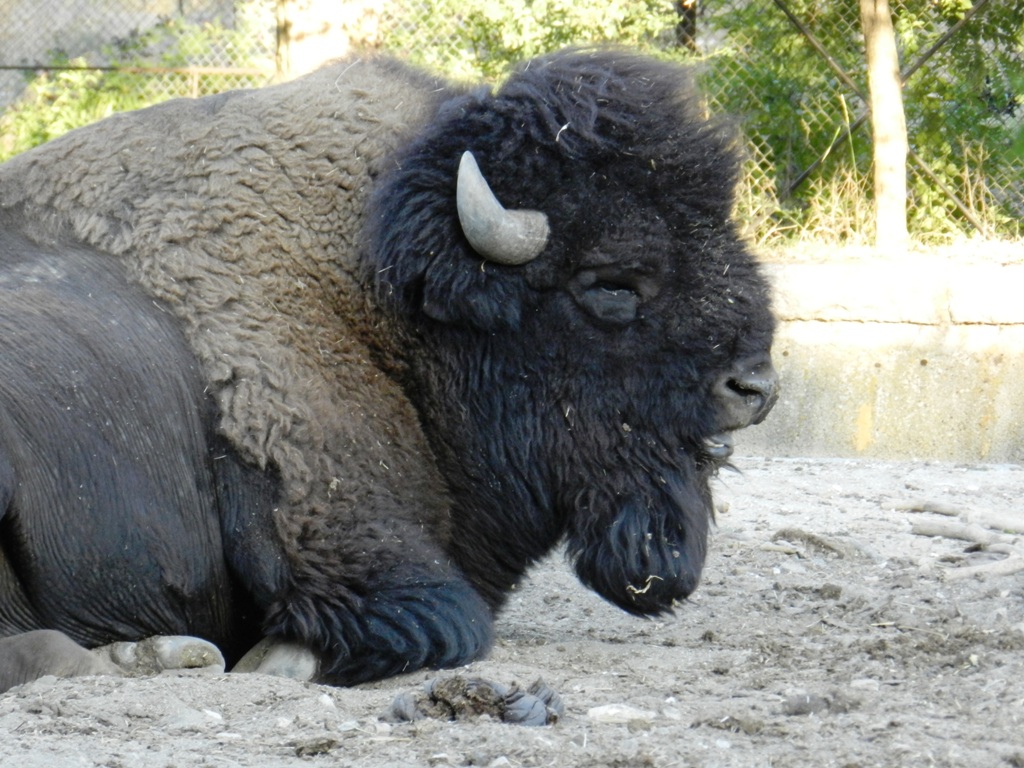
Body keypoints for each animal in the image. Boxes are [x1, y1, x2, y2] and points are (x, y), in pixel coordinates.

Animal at [0, 48, 777, 692]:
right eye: (613, 283)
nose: (755, 388)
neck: (384, 302)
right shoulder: (357, 545)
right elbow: (448, 622)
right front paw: (275, 659)